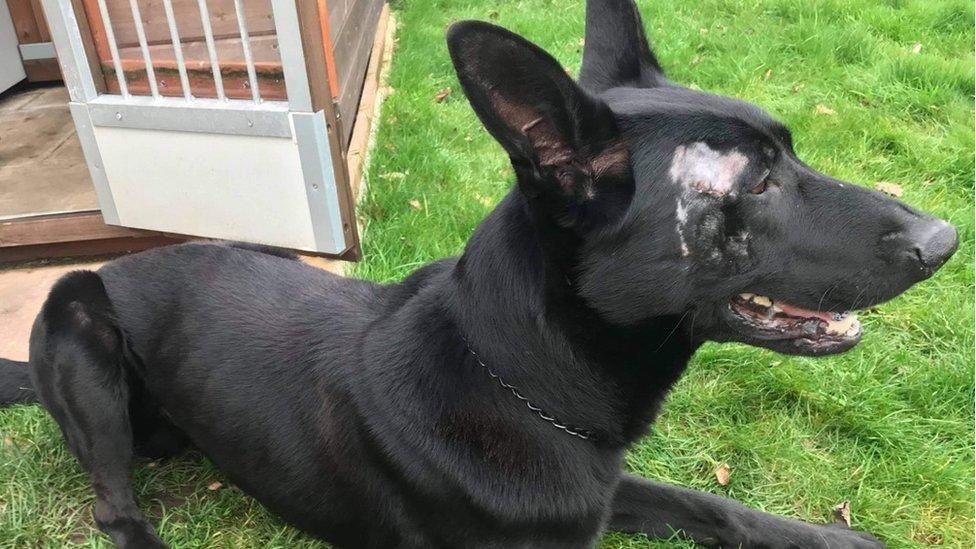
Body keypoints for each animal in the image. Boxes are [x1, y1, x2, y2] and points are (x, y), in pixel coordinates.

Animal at [1, 2, 960, 544]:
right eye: (755, 182)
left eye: (787, 154)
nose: (946, 237)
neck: (518, 379)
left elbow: (711, 505)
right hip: (79, 318)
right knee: (116, 508)